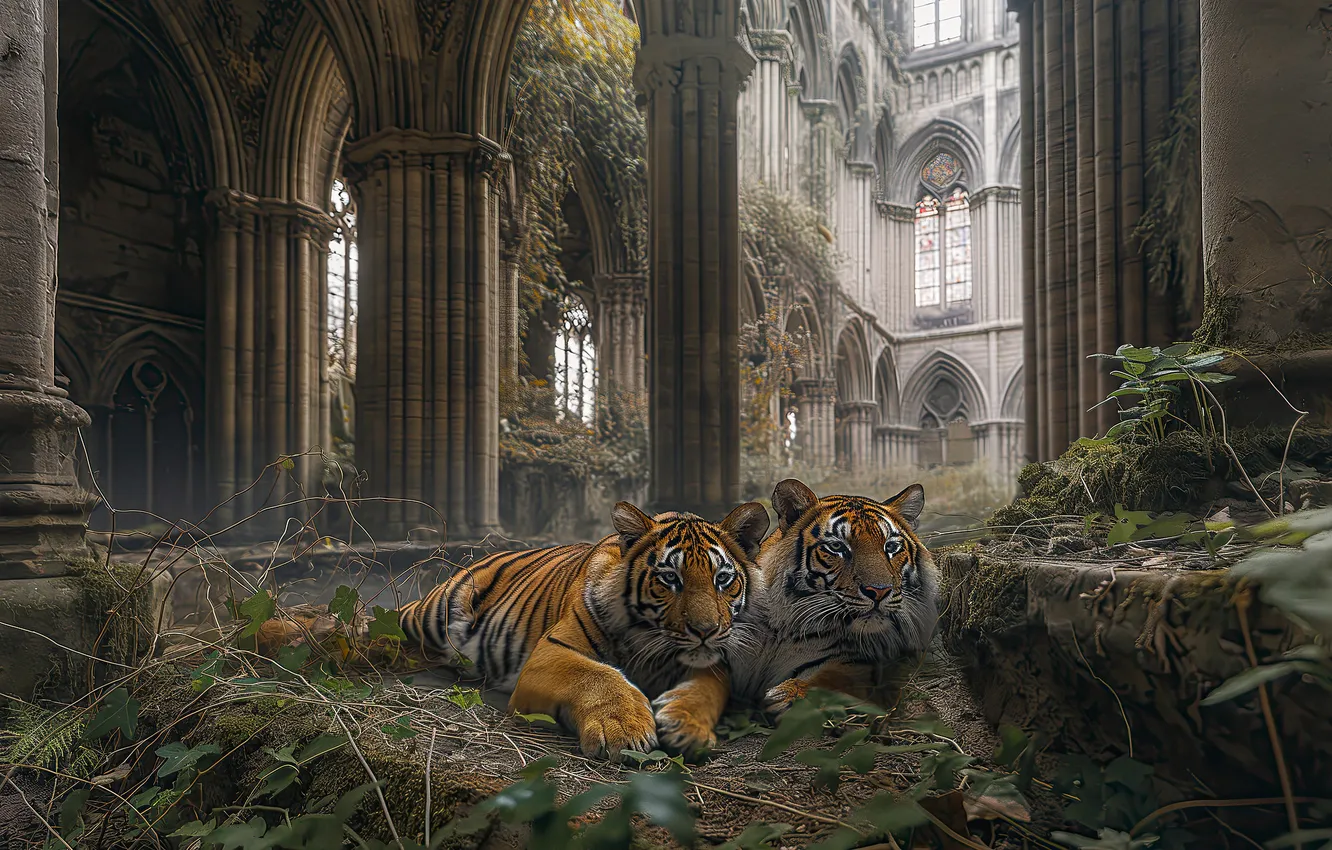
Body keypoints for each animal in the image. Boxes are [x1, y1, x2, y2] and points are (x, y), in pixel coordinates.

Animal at [398, 500, 770, 759]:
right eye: (669, 578)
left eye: (723, 579)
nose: (705, 631)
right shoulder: (551, 652)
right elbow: (597, 675)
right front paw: (622, 728)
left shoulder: (713, 662)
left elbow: (708, 689)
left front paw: (686, 727)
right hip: (433, 613)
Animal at [728, 478, 939, 715]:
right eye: (837, 546)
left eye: (892, 547)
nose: (879, 591)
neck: (780, 628)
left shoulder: (850, 663)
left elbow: (826, 681)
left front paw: (787, 696)